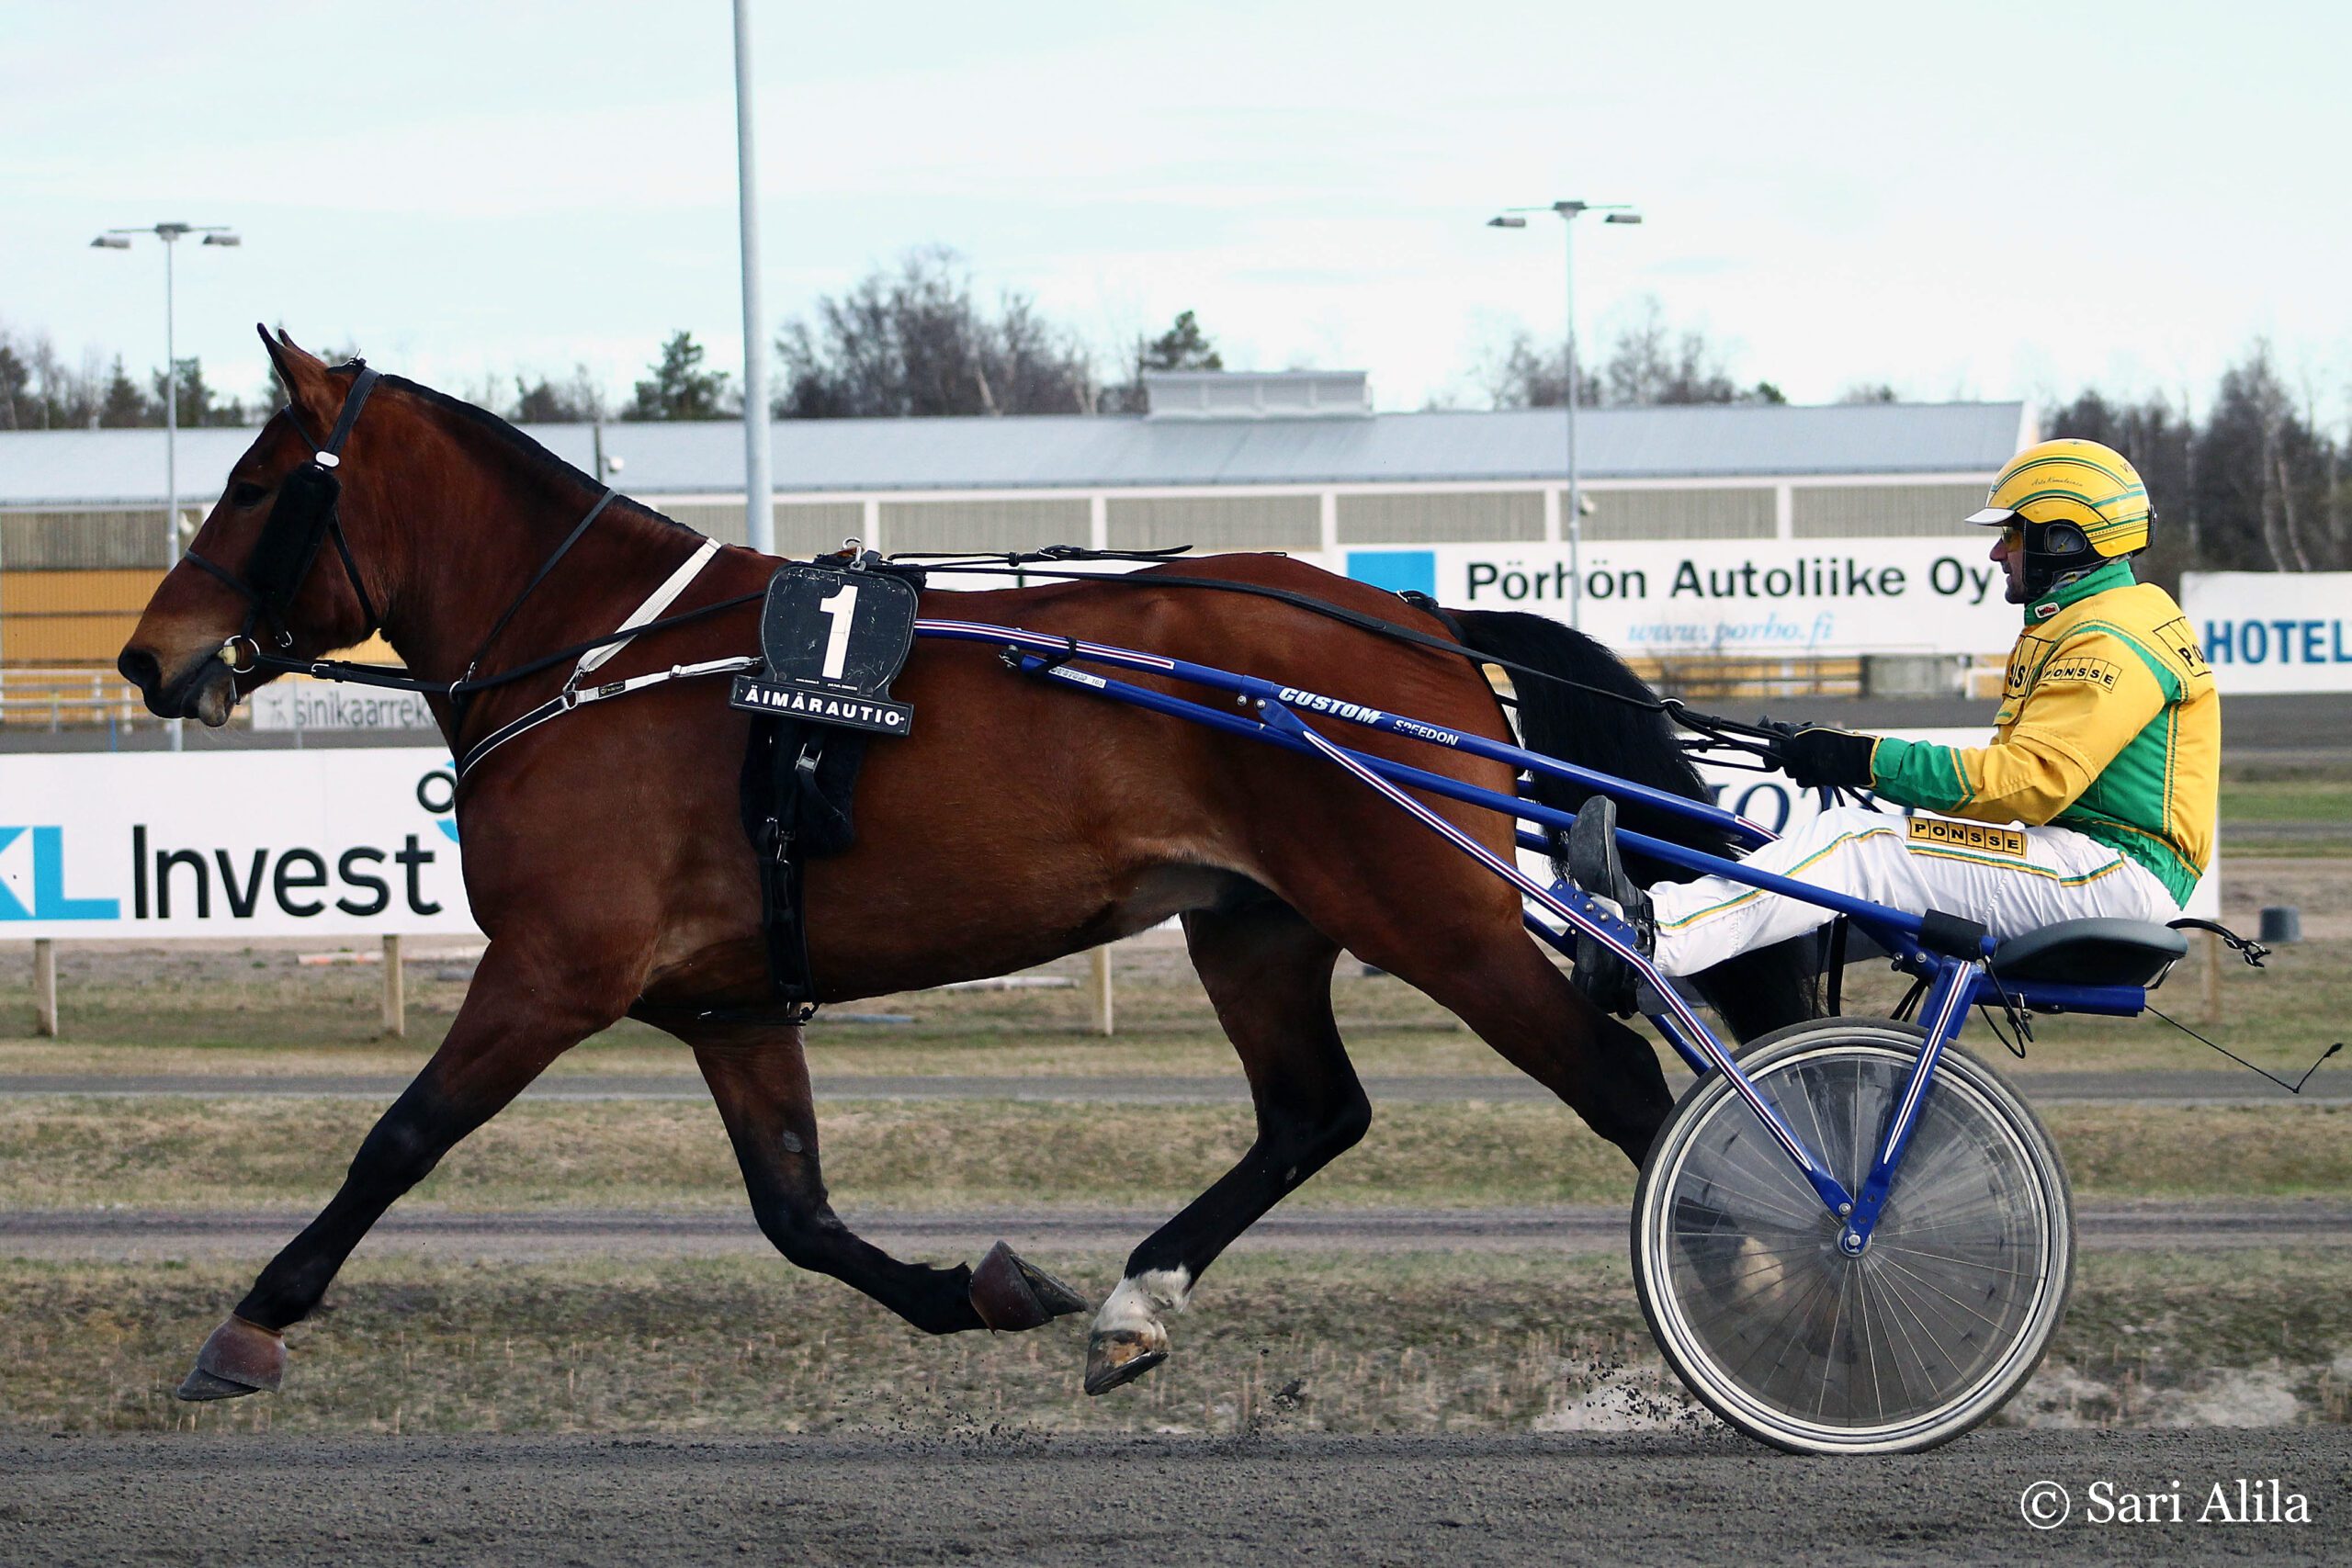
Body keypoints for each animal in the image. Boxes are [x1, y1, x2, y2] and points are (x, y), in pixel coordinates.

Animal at [118, 330, 1818, 1403]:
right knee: (1313, 1111)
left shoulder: (554, 967)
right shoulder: (730, 1005)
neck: (606, 652)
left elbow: (398, 1138)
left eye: (258, 485)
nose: (149, 656)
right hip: (1255, 924)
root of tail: (1419, 619)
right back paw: (1135, 1300)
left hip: (1421, 903)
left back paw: (1753, 1286)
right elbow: (796, 1210)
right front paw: (983, 1288)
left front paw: (252, 1321)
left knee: (1619, 1082)